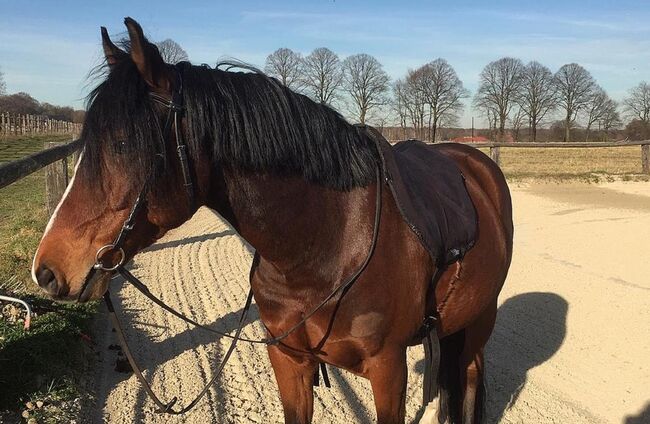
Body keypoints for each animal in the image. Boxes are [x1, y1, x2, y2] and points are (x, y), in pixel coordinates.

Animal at [33, 18, 512, 422]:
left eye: (122, 144)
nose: (47, 271)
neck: (324, 243)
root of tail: (476, 161)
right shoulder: (289, 361)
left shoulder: (388, 370)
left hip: (478, 324)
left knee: (470, 380)